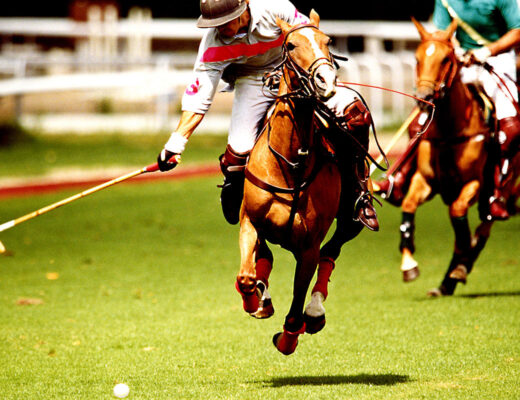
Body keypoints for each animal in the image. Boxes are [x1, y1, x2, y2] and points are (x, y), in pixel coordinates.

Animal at [236, 10, 366, 354]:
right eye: (291, 44)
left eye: (328, 41)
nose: (326, 81)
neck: (290, 162)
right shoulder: (249, 220)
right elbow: (247, 274)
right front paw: (254, 300)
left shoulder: (308, 246)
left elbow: (297, 304)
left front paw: (288, 337)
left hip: (352, 219)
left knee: (331, 251)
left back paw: (316, 311)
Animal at [400, 17, 498, 296]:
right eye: (417, 57)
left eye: (446, 59)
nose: (423, 99)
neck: (449, 131)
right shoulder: (425, 179)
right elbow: (408, 206)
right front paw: (408, 265)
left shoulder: (475, 182)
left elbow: (459, 216)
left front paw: (462, 258)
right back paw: (447, 282)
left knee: (485, 225)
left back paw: (459, 269)